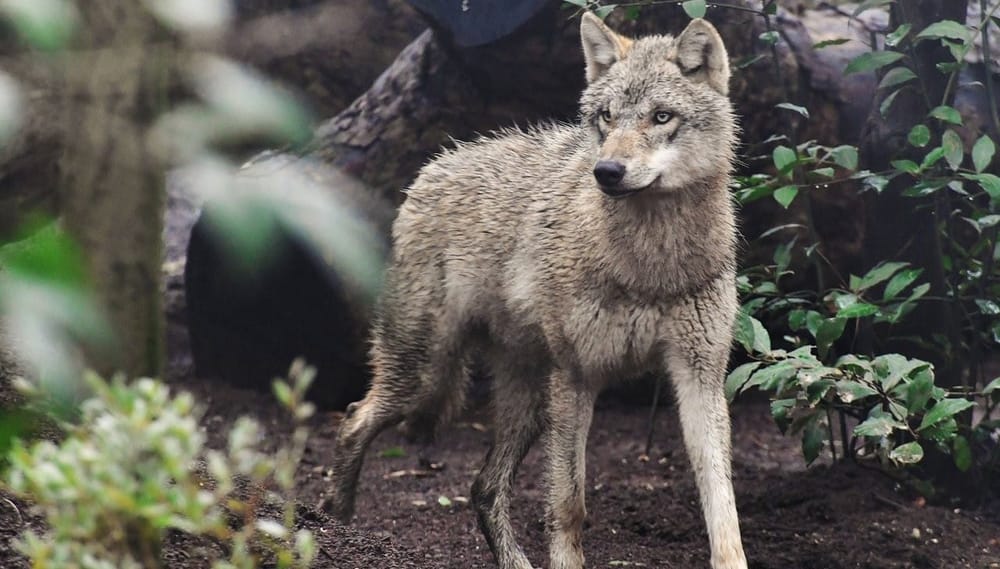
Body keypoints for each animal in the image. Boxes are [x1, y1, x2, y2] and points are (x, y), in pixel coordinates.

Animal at [323, 12, 748, 569]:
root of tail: (431, 169)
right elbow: (569, 503)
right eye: (606, 117)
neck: (652, 268)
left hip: (524, 403)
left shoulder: (700, 377)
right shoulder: (577, 376)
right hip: (426, 376)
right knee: (354, 419)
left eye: (660, 117)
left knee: (482, 487)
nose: (607, 171)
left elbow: (722, 505)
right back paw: (333, 522)